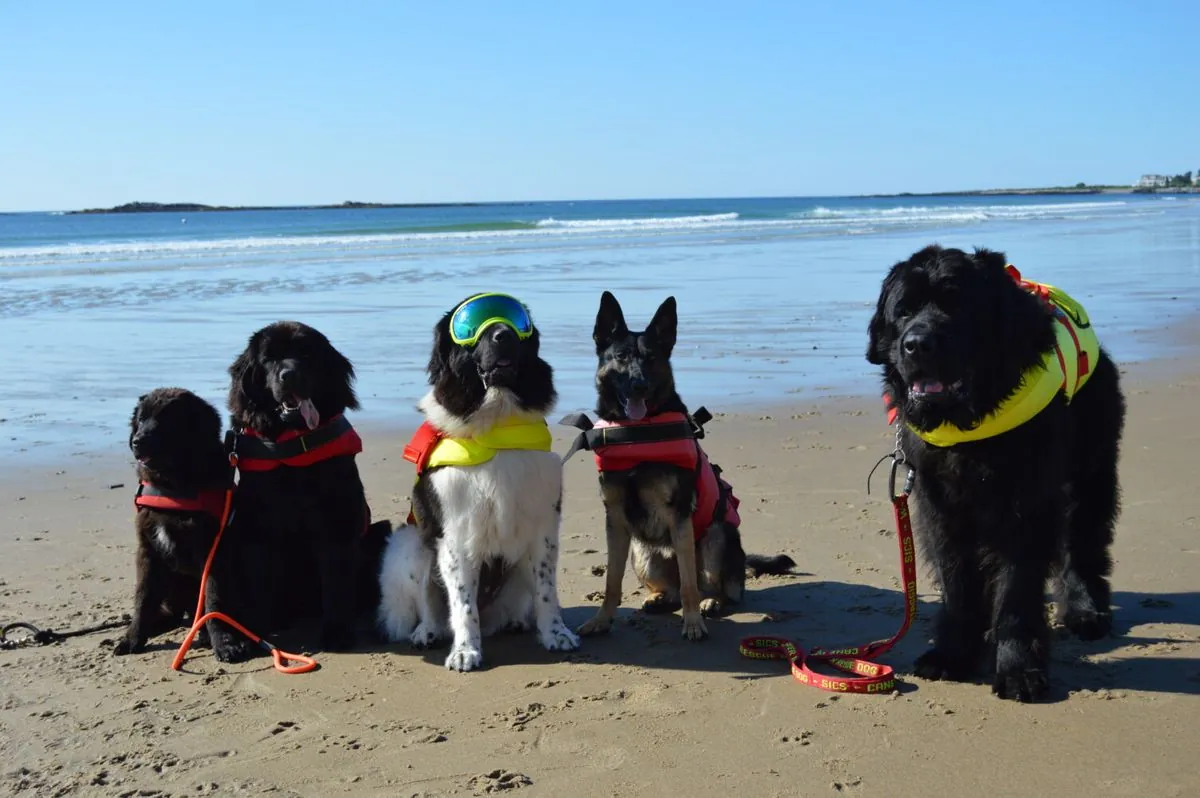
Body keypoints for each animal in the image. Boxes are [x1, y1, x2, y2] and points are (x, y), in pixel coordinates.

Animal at [117, 386, 248, 657]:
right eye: (141, 419)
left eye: (167, 420)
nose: (137, 441)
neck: (174, 488)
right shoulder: (148, 550)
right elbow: (143, 599)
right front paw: (132, 639)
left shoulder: (214, 551)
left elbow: (213, 599)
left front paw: (224, 642)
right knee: (174, 613)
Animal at [225, 321, 384, 657]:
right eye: (269, 359)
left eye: (307, 355)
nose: (289, 375)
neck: (294, 443)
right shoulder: (257, 527)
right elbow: (260, 581)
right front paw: (257, 631)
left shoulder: (338, 521)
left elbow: (337, 582)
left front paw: (337, 633)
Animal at [374, 295, 580, 667]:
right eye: (469, 325)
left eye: (518, 321)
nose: (504, 335)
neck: (496, 425)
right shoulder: (455, 535)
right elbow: (462, 603)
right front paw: (465, 650)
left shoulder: (544, 526)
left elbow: (546, 590)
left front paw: (555, 634)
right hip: (409, 543)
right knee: (429, 602)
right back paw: (427, 632)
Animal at [566, 292, 792, 643]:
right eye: (620, 357)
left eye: (651, 358)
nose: (639, 385)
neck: (637, 433)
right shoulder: (615, 519)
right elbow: (611, 581)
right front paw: (601, 620)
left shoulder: (679, 516)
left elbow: (689, 586)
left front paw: (693, 623)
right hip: (642, 551)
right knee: (671, 588)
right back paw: (659, 598)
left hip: (715, 538)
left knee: (710, 587)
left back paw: (711, 602)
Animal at [868, 246, 1128, 700]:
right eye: (904, 310)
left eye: (958, 307)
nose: (917, 344)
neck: (971, 424)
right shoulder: (940, 506)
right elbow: (957, 580)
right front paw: (952, 654)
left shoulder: (1026, 504)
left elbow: (1017, 589)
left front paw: (1018, 667)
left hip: (1092, 463)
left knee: (1083, 538)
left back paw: (1085, 610)